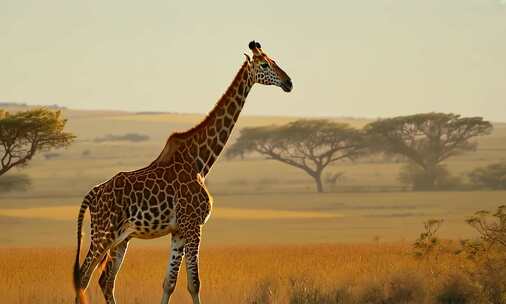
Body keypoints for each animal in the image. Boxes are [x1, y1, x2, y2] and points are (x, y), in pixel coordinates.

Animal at [72, 41, 292, 304]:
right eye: (264, 64)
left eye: (274, 60)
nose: (289, 82)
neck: (200, 161)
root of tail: (92, 194)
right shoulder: (194, 225)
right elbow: (195, 282)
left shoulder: (178, 230)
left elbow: (170, 282)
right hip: (103, 232)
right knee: (83, 277)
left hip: (121, 238)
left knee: (105, 280)